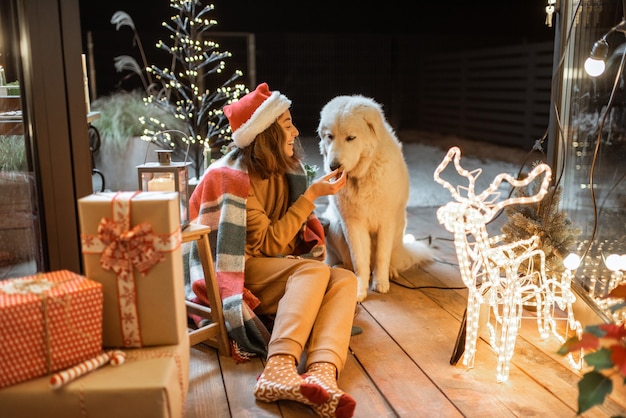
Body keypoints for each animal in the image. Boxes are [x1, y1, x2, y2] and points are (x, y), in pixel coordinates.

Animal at [316, 95, 428, 302]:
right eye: (330, 137)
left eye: (351, 138)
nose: (334, 166)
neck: (363, 174)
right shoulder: (353, 223)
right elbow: (359, 259)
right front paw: (359, 290)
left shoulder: (386, 222)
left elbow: (382, 256)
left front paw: (381, 283)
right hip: (334, 225)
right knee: (349, 260)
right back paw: (342, 267)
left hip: (398, 232)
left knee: (390, 258)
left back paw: (390, 271)